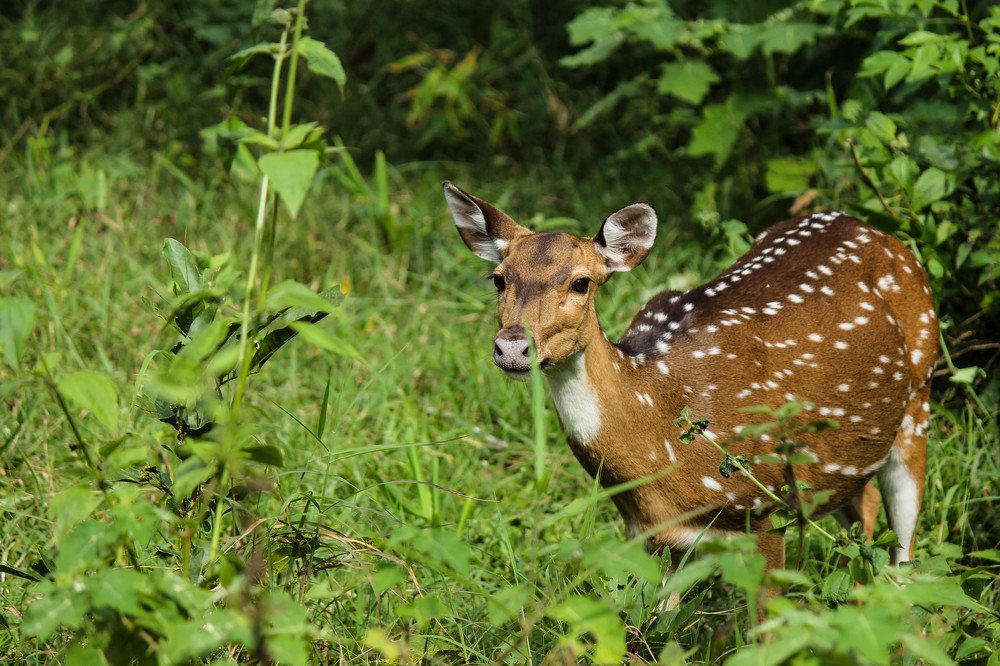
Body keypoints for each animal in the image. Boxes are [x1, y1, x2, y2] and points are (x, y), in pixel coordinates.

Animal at [444, 181, 938, 591]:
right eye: (499, 279)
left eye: (581, 282)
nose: (512, 347)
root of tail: (877, 230)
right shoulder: (657, 535)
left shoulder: (764, 507)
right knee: (863, 505)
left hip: (919, 396)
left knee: (905, 548)